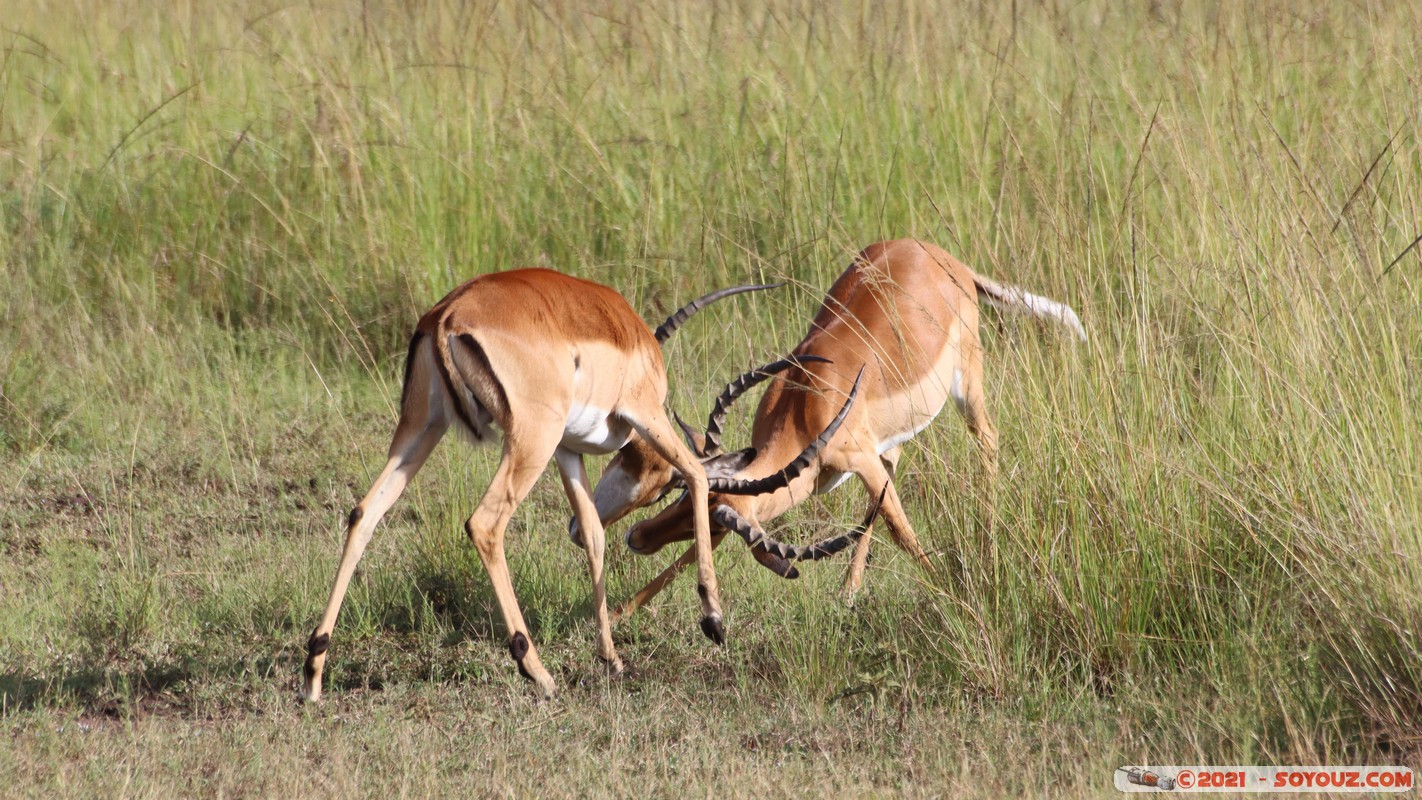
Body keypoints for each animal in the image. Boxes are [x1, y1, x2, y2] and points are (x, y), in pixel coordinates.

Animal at [298, 271, 830, 701]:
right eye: (664, 491)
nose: (638, 537)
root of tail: (447, 315)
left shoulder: (568, 451)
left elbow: (592, 533)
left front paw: (611, 659)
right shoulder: (644, 413)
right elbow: (699, 476)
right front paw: (713, 621)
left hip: (423, 428)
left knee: (365, 512)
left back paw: (313, 673)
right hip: (530, 437)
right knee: (484, 524)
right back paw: (538, 672)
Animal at [574, 240, 1075, 619]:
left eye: (716, 521)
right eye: (684, 498)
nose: (636, 538)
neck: (805, 406)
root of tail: (943, 257)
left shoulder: (860, 461)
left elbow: (901, 530)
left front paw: (953, 597)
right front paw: (618, 613)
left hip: (967, 386)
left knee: (987, 440)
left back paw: (984, 545)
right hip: (893, 436)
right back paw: (849, 591)